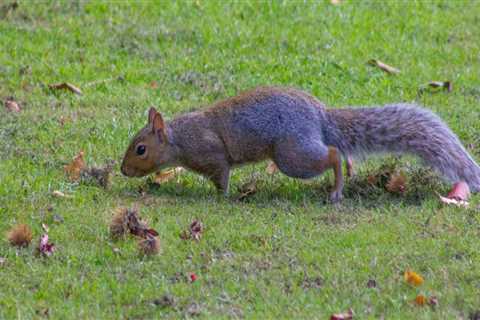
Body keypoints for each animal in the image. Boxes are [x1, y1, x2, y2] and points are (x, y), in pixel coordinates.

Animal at [120, 86, 480, 201]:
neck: (179, 140)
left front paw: (220, 197)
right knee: (339, 152)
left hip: (291, 155)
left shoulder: (213, 154)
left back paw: (336, 190)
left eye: (141, 149)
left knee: (332, 154)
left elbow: (221, 178)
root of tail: (319, 115)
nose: (123, 171)